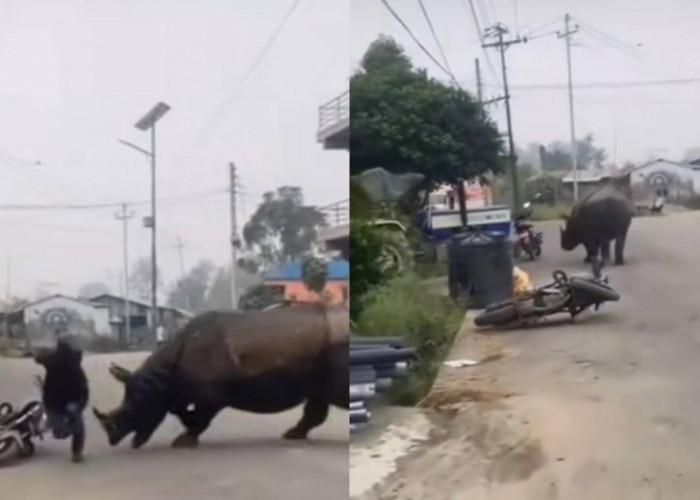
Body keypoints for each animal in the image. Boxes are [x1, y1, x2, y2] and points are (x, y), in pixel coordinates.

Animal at [93, 302, 350, 452]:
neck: (159, 378)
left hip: (335, 346)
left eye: (137, 405)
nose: (112, 438)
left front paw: (183, 443)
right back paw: (291, 436)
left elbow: (201, 418)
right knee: (318, 400)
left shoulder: (211, 394)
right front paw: (185, 428)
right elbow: (190, 415)